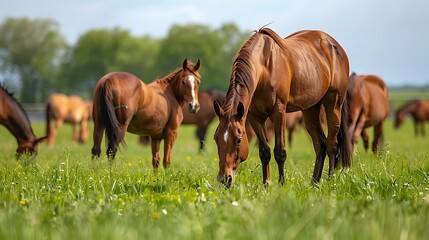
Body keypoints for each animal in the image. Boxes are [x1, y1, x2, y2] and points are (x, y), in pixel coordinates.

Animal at [212, 27, 350, 187]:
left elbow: (280, 152)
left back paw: (330, 180)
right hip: (310, 109)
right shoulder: (255, 117)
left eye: (239, 139)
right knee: (320, 145)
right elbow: (264, 152)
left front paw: (281, 184)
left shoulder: (279, 113)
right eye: (216, 138)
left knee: (332, 144)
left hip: (333, 105)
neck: (264, 68)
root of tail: (335, 46)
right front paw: (266, 184)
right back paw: (314, 182)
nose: (224, 179)